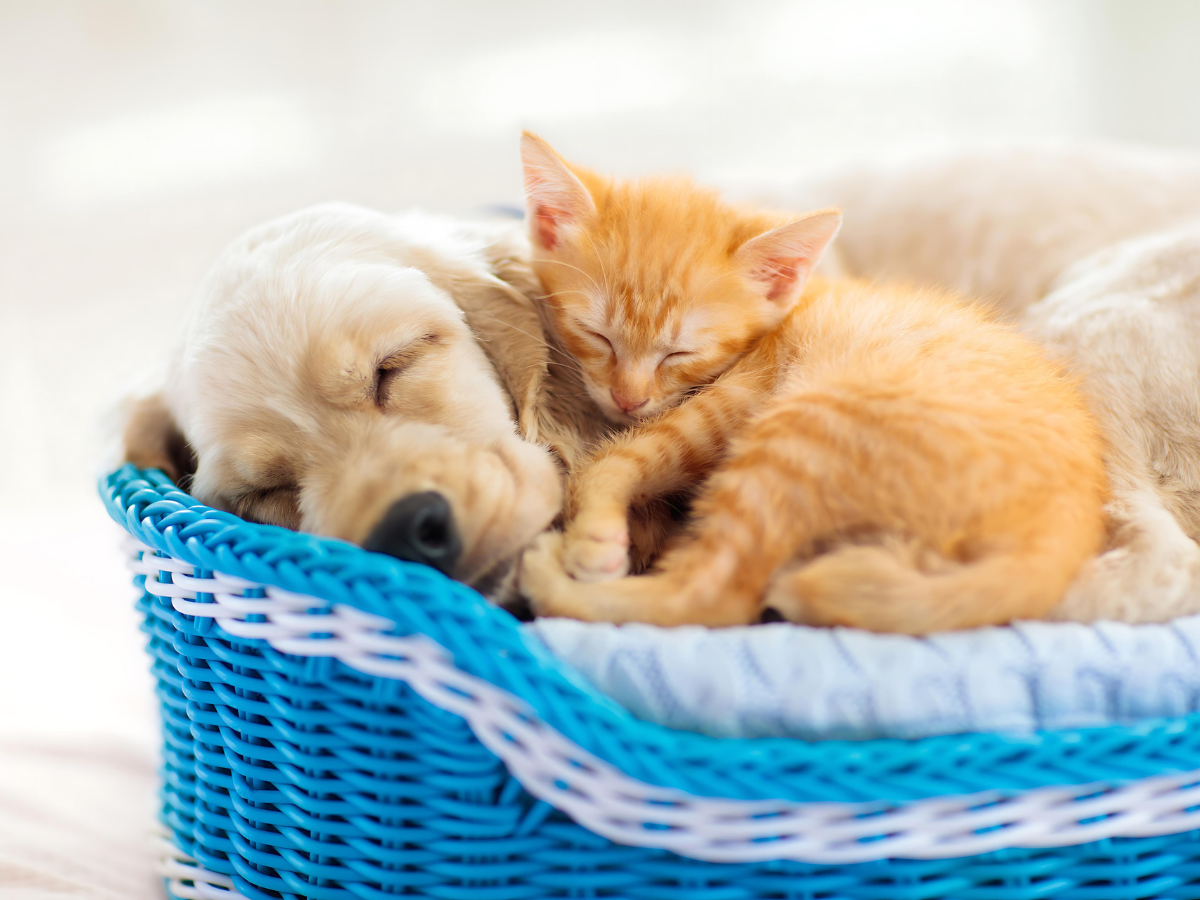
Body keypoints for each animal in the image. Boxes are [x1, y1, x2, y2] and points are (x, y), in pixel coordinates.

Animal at [516, 132, 1104, 633]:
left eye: (681, 353)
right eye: (596, 334)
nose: (627, 398)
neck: (791, 309)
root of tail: (1065, 524)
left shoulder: (732, 397)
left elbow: (617, 456)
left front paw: (594, 534)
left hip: (805, 432)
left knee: (713, 594)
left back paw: (550, 581)